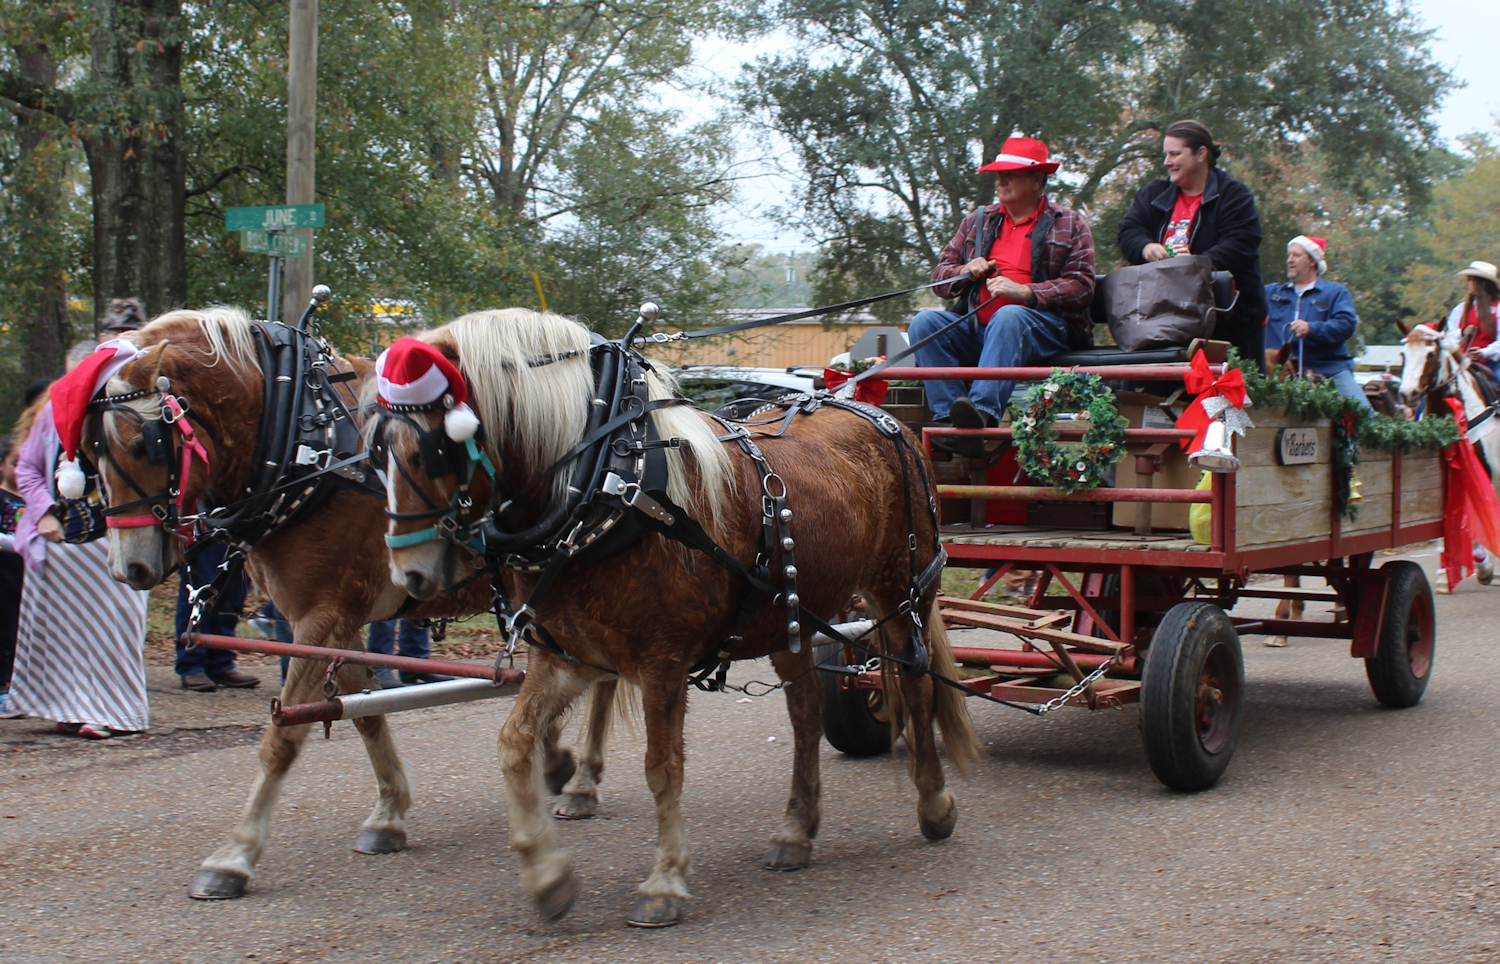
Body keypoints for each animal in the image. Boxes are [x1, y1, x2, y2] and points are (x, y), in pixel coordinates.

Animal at [87, 307, 622, 900]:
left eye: (146, 445)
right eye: (91, 451)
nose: (128, 568)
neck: (304, 446)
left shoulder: (321, 618)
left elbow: (283, 737)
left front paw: (234, 855)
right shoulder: (333, 623)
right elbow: (361, 711)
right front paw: (390, 813)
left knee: (606, 676)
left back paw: (582, 780)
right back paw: (570, 771)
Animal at [376, 308, 979, 927]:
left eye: (434, 452)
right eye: (379, 453)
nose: (409, 575)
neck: (611, 483)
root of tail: (884, 416)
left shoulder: (661, 662)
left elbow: (662, 766)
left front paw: (664, 880)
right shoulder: (566, 657)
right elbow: (515, 742)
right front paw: (547, 874)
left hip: (902, 593)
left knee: (917, 687)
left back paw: (933, 803)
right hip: (788, 617)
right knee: (807, 713)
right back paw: (796, 830)